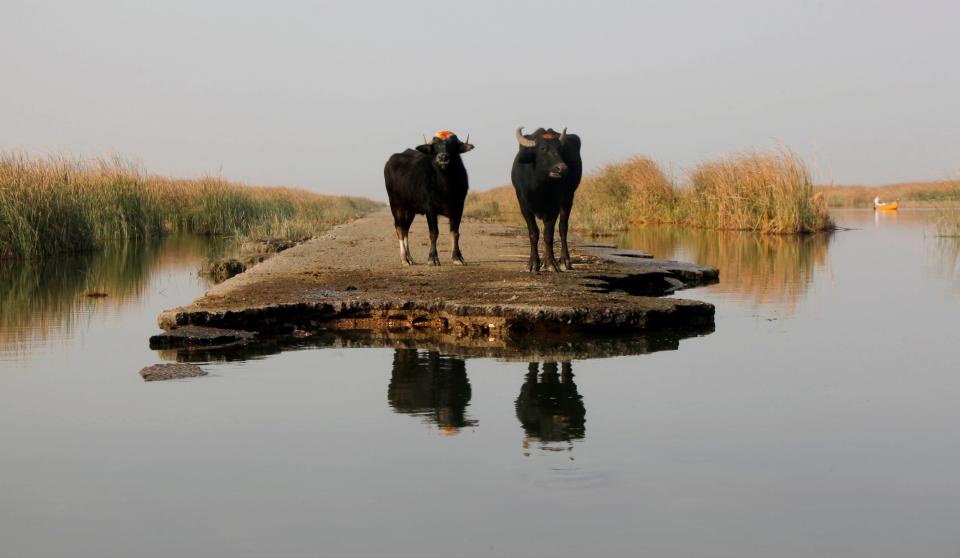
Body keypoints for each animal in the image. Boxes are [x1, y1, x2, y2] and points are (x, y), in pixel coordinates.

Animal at [382, 133, 472, 270]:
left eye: (452, 145)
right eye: (435, 146)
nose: (443, 157)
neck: (445, 186)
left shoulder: (458, 206)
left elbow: (455, 233)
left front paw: (457, 258)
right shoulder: (430, 208)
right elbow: (434, 233)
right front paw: (432, 259)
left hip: (410, 210)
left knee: (406, 229)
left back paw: (410, 258)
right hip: (396, 205)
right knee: (399, 229)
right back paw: (404, 259)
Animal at [512, 127, 580, 276]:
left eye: (560, 150)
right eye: (543, 149)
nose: (561, 168)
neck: (539, 187)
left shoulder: (553, 207)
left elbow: (548, 234)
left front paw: (551, 263)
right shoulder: (523, 205)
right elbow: (534, 233)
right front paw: (533, 263)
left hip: (568, 197)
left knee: (563, 227)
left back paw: (564, 260)